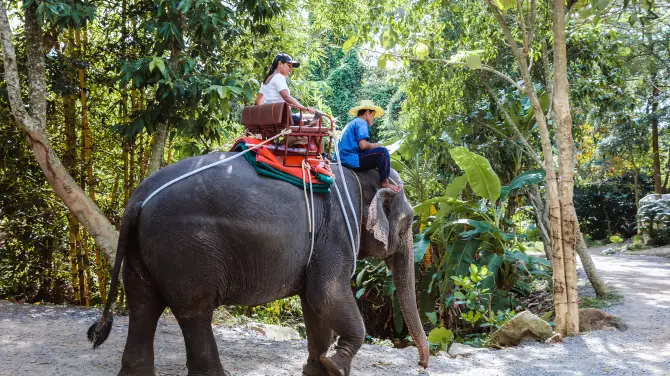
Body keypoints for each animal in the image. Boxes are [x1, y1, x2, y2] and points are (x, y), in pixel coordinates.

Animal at [88, 151, 430, 376]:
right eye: (410, 221)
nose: (422, 365)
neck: (357, 174)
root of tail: (138, 197)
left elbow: (313, 305)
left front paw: (317, 370)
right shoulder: (335, 230)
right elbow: (326, 294)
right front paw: (335, 367)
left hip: (142, 249)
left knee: (143, 306)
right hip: (186, 248)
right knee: (193, 311)